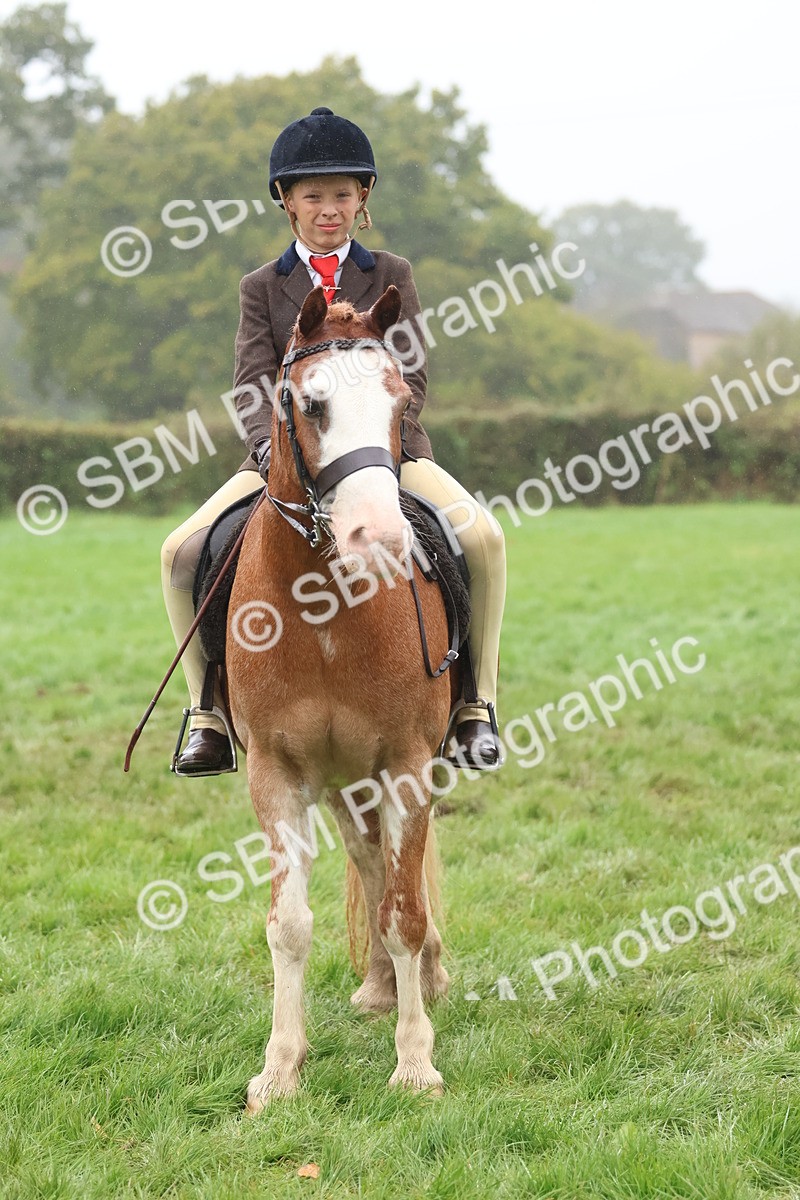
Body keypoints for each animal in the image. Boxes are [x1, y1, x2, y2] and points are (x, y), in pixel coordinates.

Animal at [225, 284, 456, 1113]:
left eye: (400, 401)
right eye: (310, 402)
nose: (378, 541)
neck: (323, 604)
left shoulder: (409, 765)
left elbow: (405, 912)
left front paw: (415, 1065)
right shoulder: (278, 772)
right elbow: (289, 925)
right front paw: (279, 1071)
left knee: (393, 879)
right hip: (343, 781)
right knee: (367, 859)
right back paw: (382, 987)